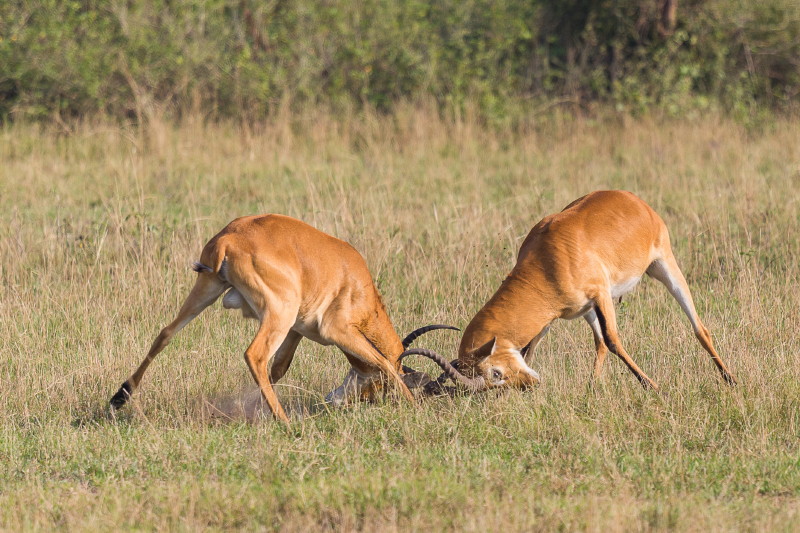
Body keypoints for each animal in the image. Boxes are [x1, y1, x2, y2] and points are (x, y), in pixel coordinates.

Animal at [108, 214, 456, 422]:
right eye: (378, 386)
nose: (338, 401)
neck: (355, 281)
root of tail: (228, 239)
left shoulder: (297, 331)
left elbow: (279, 369)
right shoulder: (337, 330)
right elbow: (383, 360)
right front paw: (415, 406)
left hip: (208, 290)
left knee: (165, 333)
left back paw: (119, 398)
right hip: (278, 313)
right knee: (254, 355)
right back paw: (285, 421)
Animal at [406, 190, 736, 390]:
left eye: (495, 373)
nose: (531, 384)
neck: (547, 259)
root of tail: (630, 197)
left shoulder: (601, 294)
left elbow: (614, 340)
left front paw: (652, 386)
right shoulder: (565, 312)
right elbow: (533, 347)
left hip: (663, 266)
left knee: (699, 328)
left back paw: (730, 379)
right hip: (589, 309)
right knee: (599, 343)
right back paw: (592, 388)